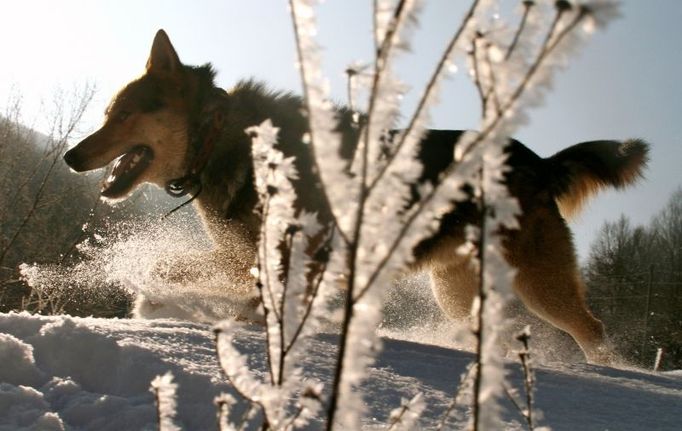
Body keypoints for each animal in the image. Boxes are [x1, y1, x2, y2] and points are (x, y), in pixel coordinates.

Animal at [63, 28, 648, 362]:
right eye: (107, 113)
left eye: (123, 113)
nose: (69, 156)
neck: (222, 139)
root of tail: (538, 160)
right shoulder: (247, 256)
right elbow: (181, 272)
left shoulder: (292, 257)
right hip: (455, 293)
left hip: (539, 285)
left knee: (593, 331)